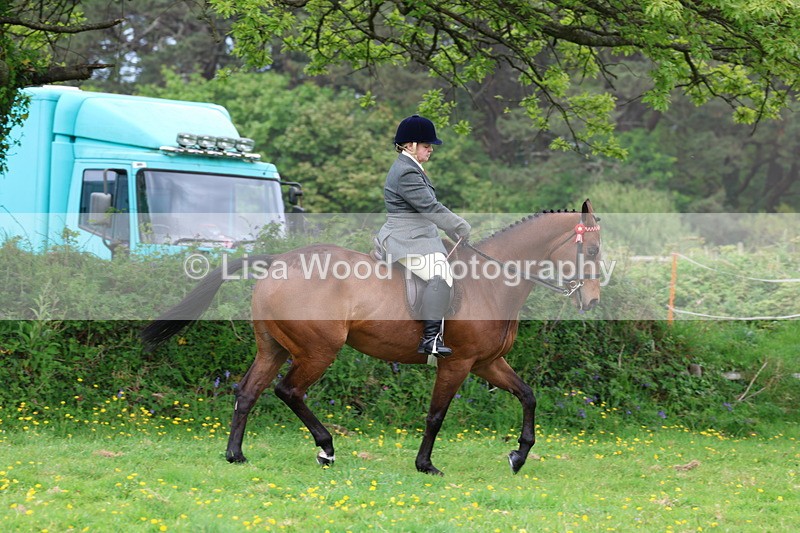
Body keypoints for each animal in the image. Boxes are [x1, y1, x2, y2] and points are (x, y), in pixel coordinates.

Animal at [141, 199, 602, 476]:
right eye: (593, 251)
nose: (593, 301)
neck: (492, 282)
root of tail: (278, 261)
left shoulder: (487, 362)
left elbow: (528, 395)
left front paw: (518, 455)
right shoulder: (457, 363)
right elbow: (436, 415)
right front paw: (425, 465)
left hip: (272, 348)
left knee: (248, 391)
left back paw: (236, 455)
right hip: (318, 350)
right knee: (289, 391)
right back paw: (325, 448)